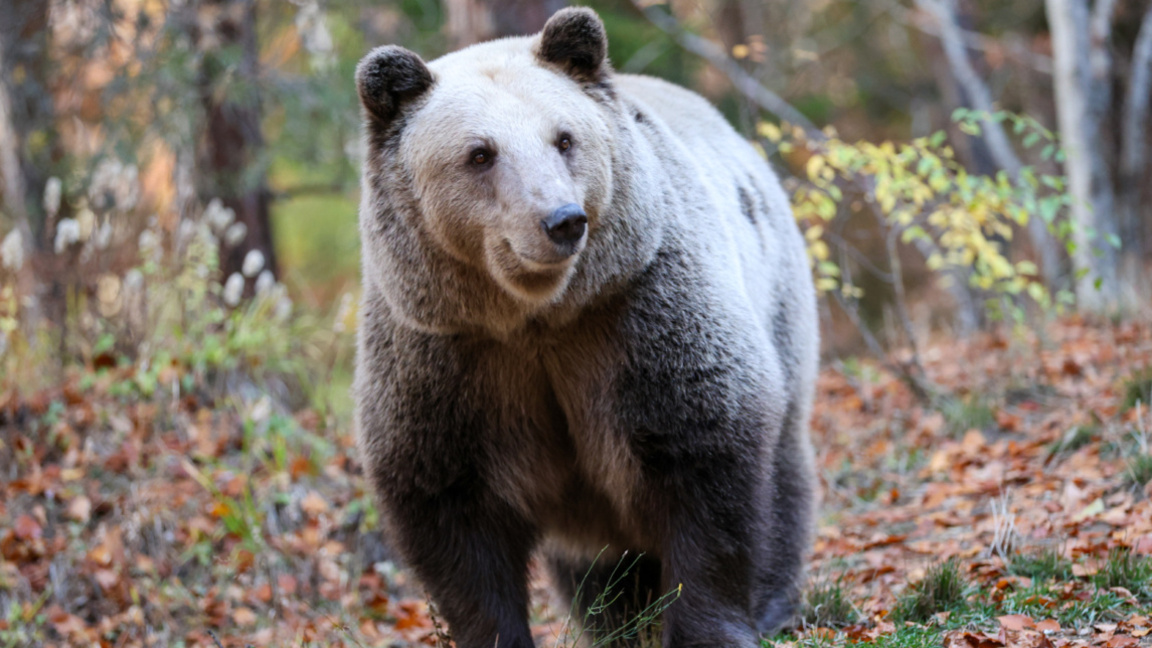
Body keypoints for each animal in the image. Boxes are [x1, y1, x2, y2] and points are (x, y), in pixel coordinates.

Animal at [352, 7, 819, 646]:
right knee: (597, 564)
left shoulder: (637, 310)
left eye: (564, 138)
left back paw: (771, 599)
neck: (537, 315)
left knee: (783, 474)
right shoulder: (442, 352)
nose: (561, 220)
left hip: (777, 297)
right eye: (480, 153)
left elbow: (706, 449)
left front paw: (710, 626)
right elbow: (450, 507)